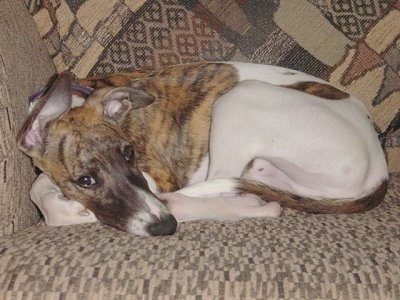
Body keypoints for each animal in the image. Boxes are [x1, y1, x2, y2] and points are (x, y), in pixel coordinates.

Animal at [18, 62, 388, 237]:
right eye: (86, 180)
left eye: (129, 153)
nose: (164, 227)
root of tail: (380, 171)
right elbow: (39, 186)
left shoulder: (159, 177)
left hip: (240, 98)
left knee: (216, 186)